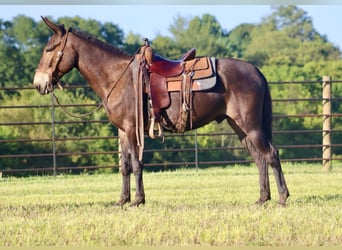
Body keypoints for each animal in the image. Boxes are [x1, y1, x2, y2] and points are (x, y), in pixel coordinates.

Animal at [33, 16, 288, 206]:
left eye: (49, 49)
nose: (38, 83)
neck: (118, 77)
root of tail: (255, 70)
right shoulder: (123, 131)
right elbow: (125, 166)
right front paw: (122, 200)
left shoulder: (132, 129)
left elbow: (136, 164)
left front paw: (138, 200)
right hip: (239, 126)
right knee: (259, 158)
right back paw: (262, 198)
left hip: (250, 125)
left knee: (271, 154)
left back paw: (282, 198)